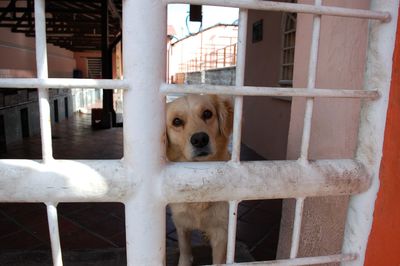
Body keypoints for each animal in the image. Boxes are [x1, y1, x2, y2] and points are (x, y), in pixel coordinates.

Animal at [166, 94, 234, 264]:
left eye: (207, 113)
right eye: (177, 121)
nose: (200, 139)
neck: (199, 176)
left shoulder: (221, 231)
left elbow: (218, 260)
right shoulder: (181, 223)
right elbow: (184, 250)